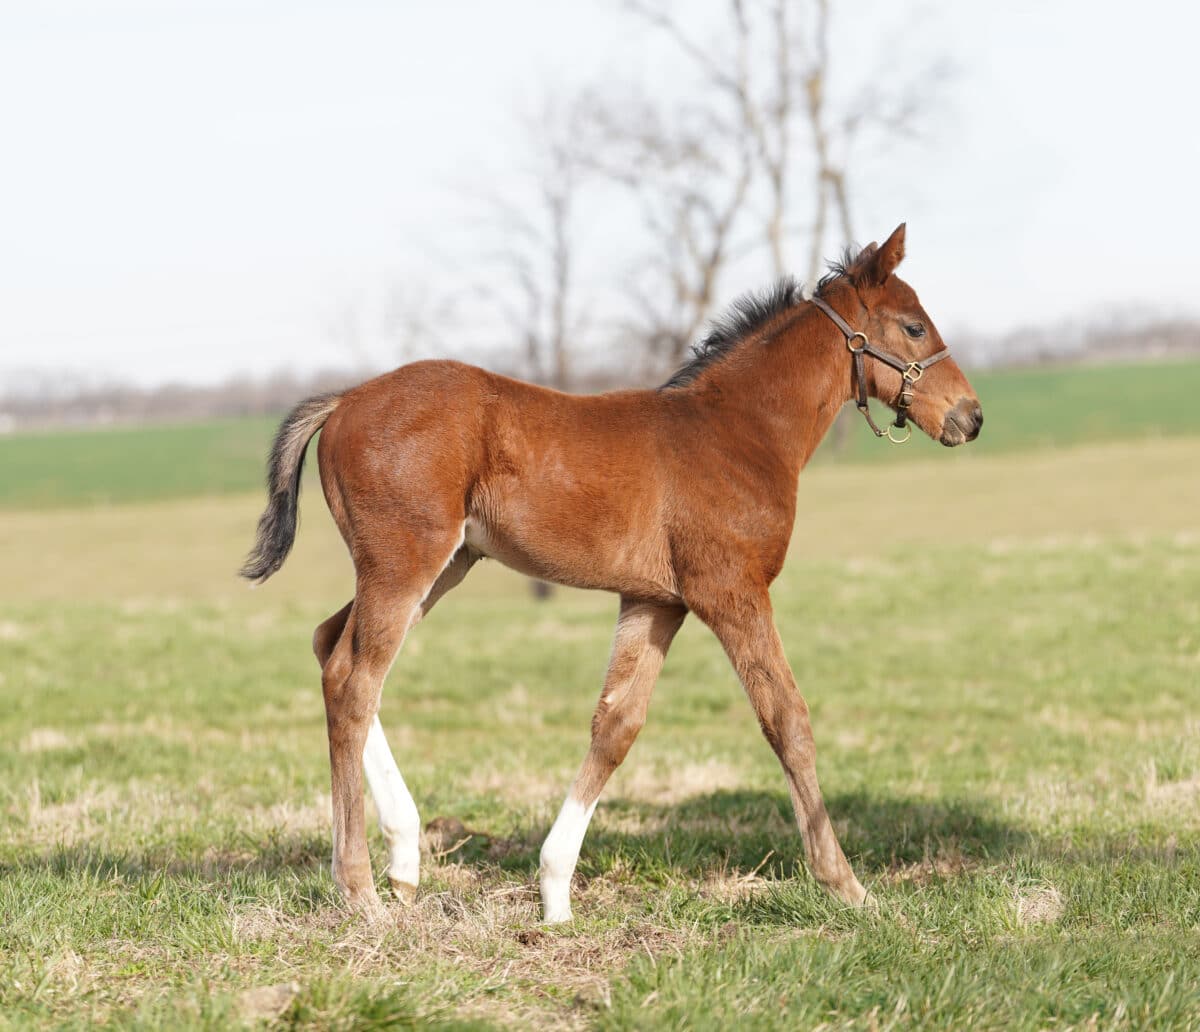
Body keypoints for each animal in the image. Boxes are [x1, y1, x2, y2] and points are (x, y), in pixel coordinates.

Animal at [238, 225, 979, 916]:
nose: (969, 417)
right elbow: (786, 720)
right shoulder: (732, 591)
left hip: (439, 565)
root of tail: (344, 401)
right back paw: (359, 884)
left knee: (331, 649)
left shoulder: (655, 602)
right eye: (913, 325)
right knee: (354, 682)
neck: (737, 430)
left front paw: (555, 896)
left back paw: (404, 858)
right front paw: (846, 884)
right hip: (404, 564)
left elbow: (616, 725)